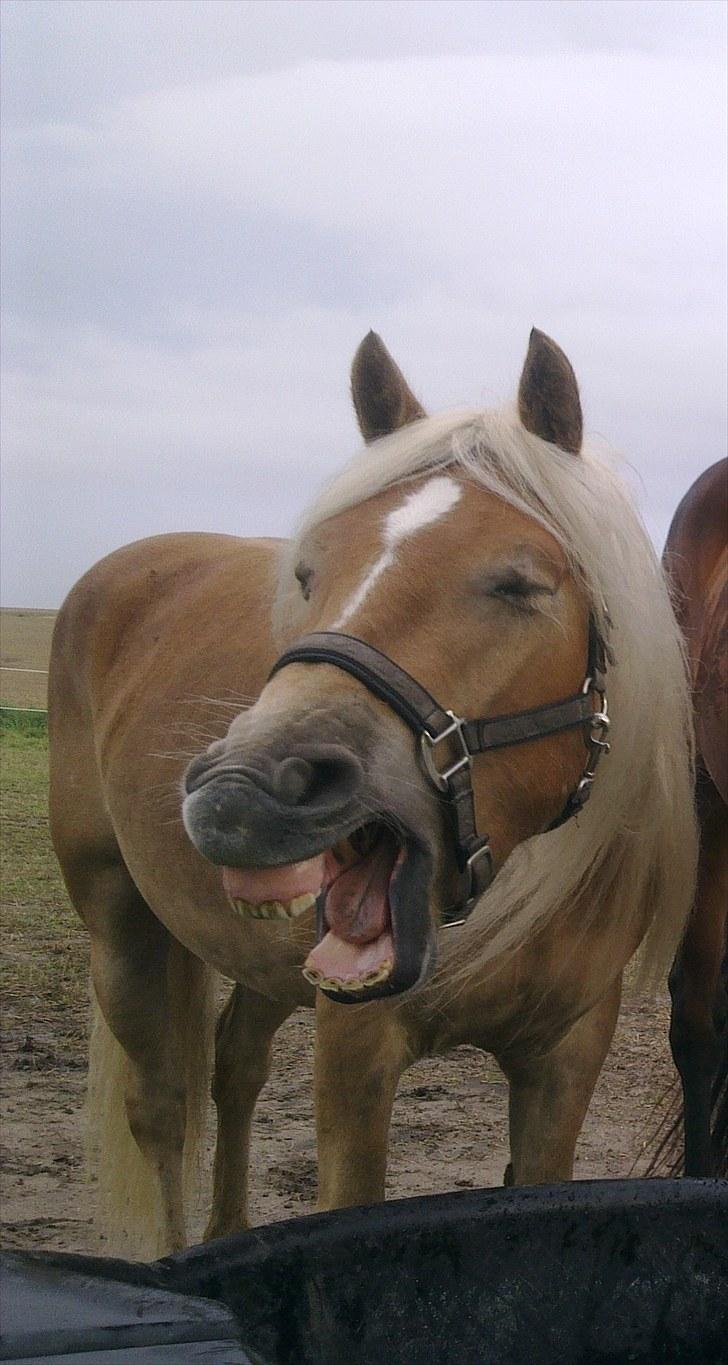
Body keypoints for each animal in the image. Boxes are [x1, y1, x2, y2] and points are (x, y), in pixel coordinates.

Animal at [48, 333, 696, 1255]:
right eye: (308, 572)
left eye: (520, 585)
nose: (242, 791)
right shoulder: (355, 1056)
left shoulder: (565, 1059)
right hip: (118, 920)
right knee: (161, 1109)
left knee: (234, 1065)